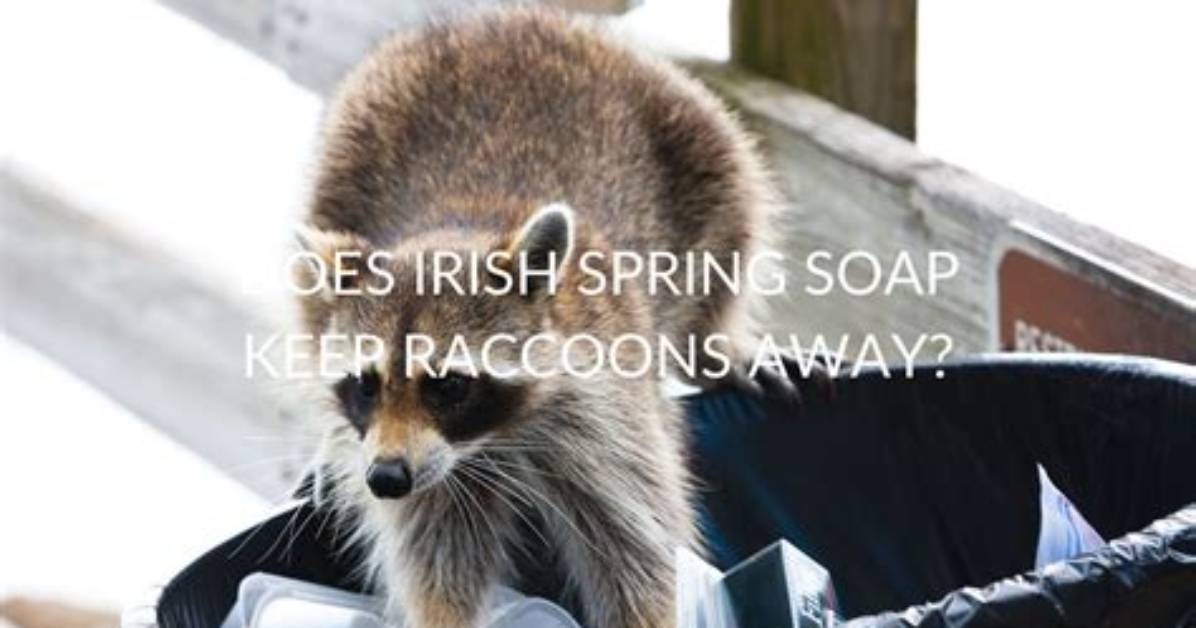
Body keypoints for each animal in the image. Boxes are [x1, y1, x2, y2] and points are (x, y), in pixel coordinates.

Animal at [293, 9, 780, 628]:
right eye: (365, 384)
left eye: (447, 385)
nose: (384, 478)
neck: (496, 437)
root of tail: (504, 17)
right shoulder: (420, 465)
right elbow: (437, 556)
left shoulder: (611, 414)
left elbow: (641, 548)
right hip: (344, 155)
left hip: (692, 133)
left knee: (734, 215)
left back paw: (712, 343)